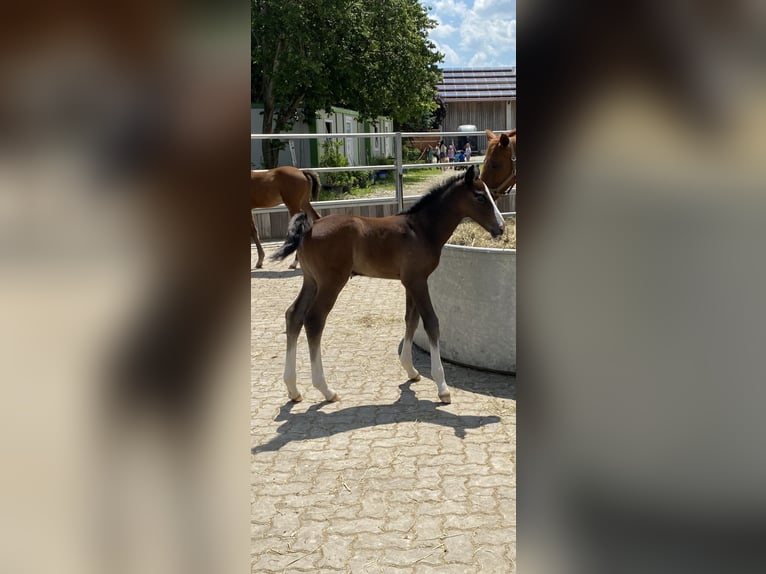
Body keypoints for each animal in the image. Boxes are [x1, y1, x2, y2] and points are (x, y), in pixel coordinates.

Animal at [272, 166, 508, 408]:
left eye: (490, 195)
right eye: (480, 197)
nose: (501, 227)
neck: (421, 229)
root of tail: (310, 227)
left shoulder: (410, 282)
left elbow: (411, 320)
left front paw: (410, 370)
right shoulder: (417, 281)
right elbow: (431, 322)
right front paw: (442, 387)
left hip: (311, 281)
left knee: (293, 315)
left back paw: (293, 389)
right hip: (331, 283)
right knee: (314, 320)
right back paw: (326, 390)